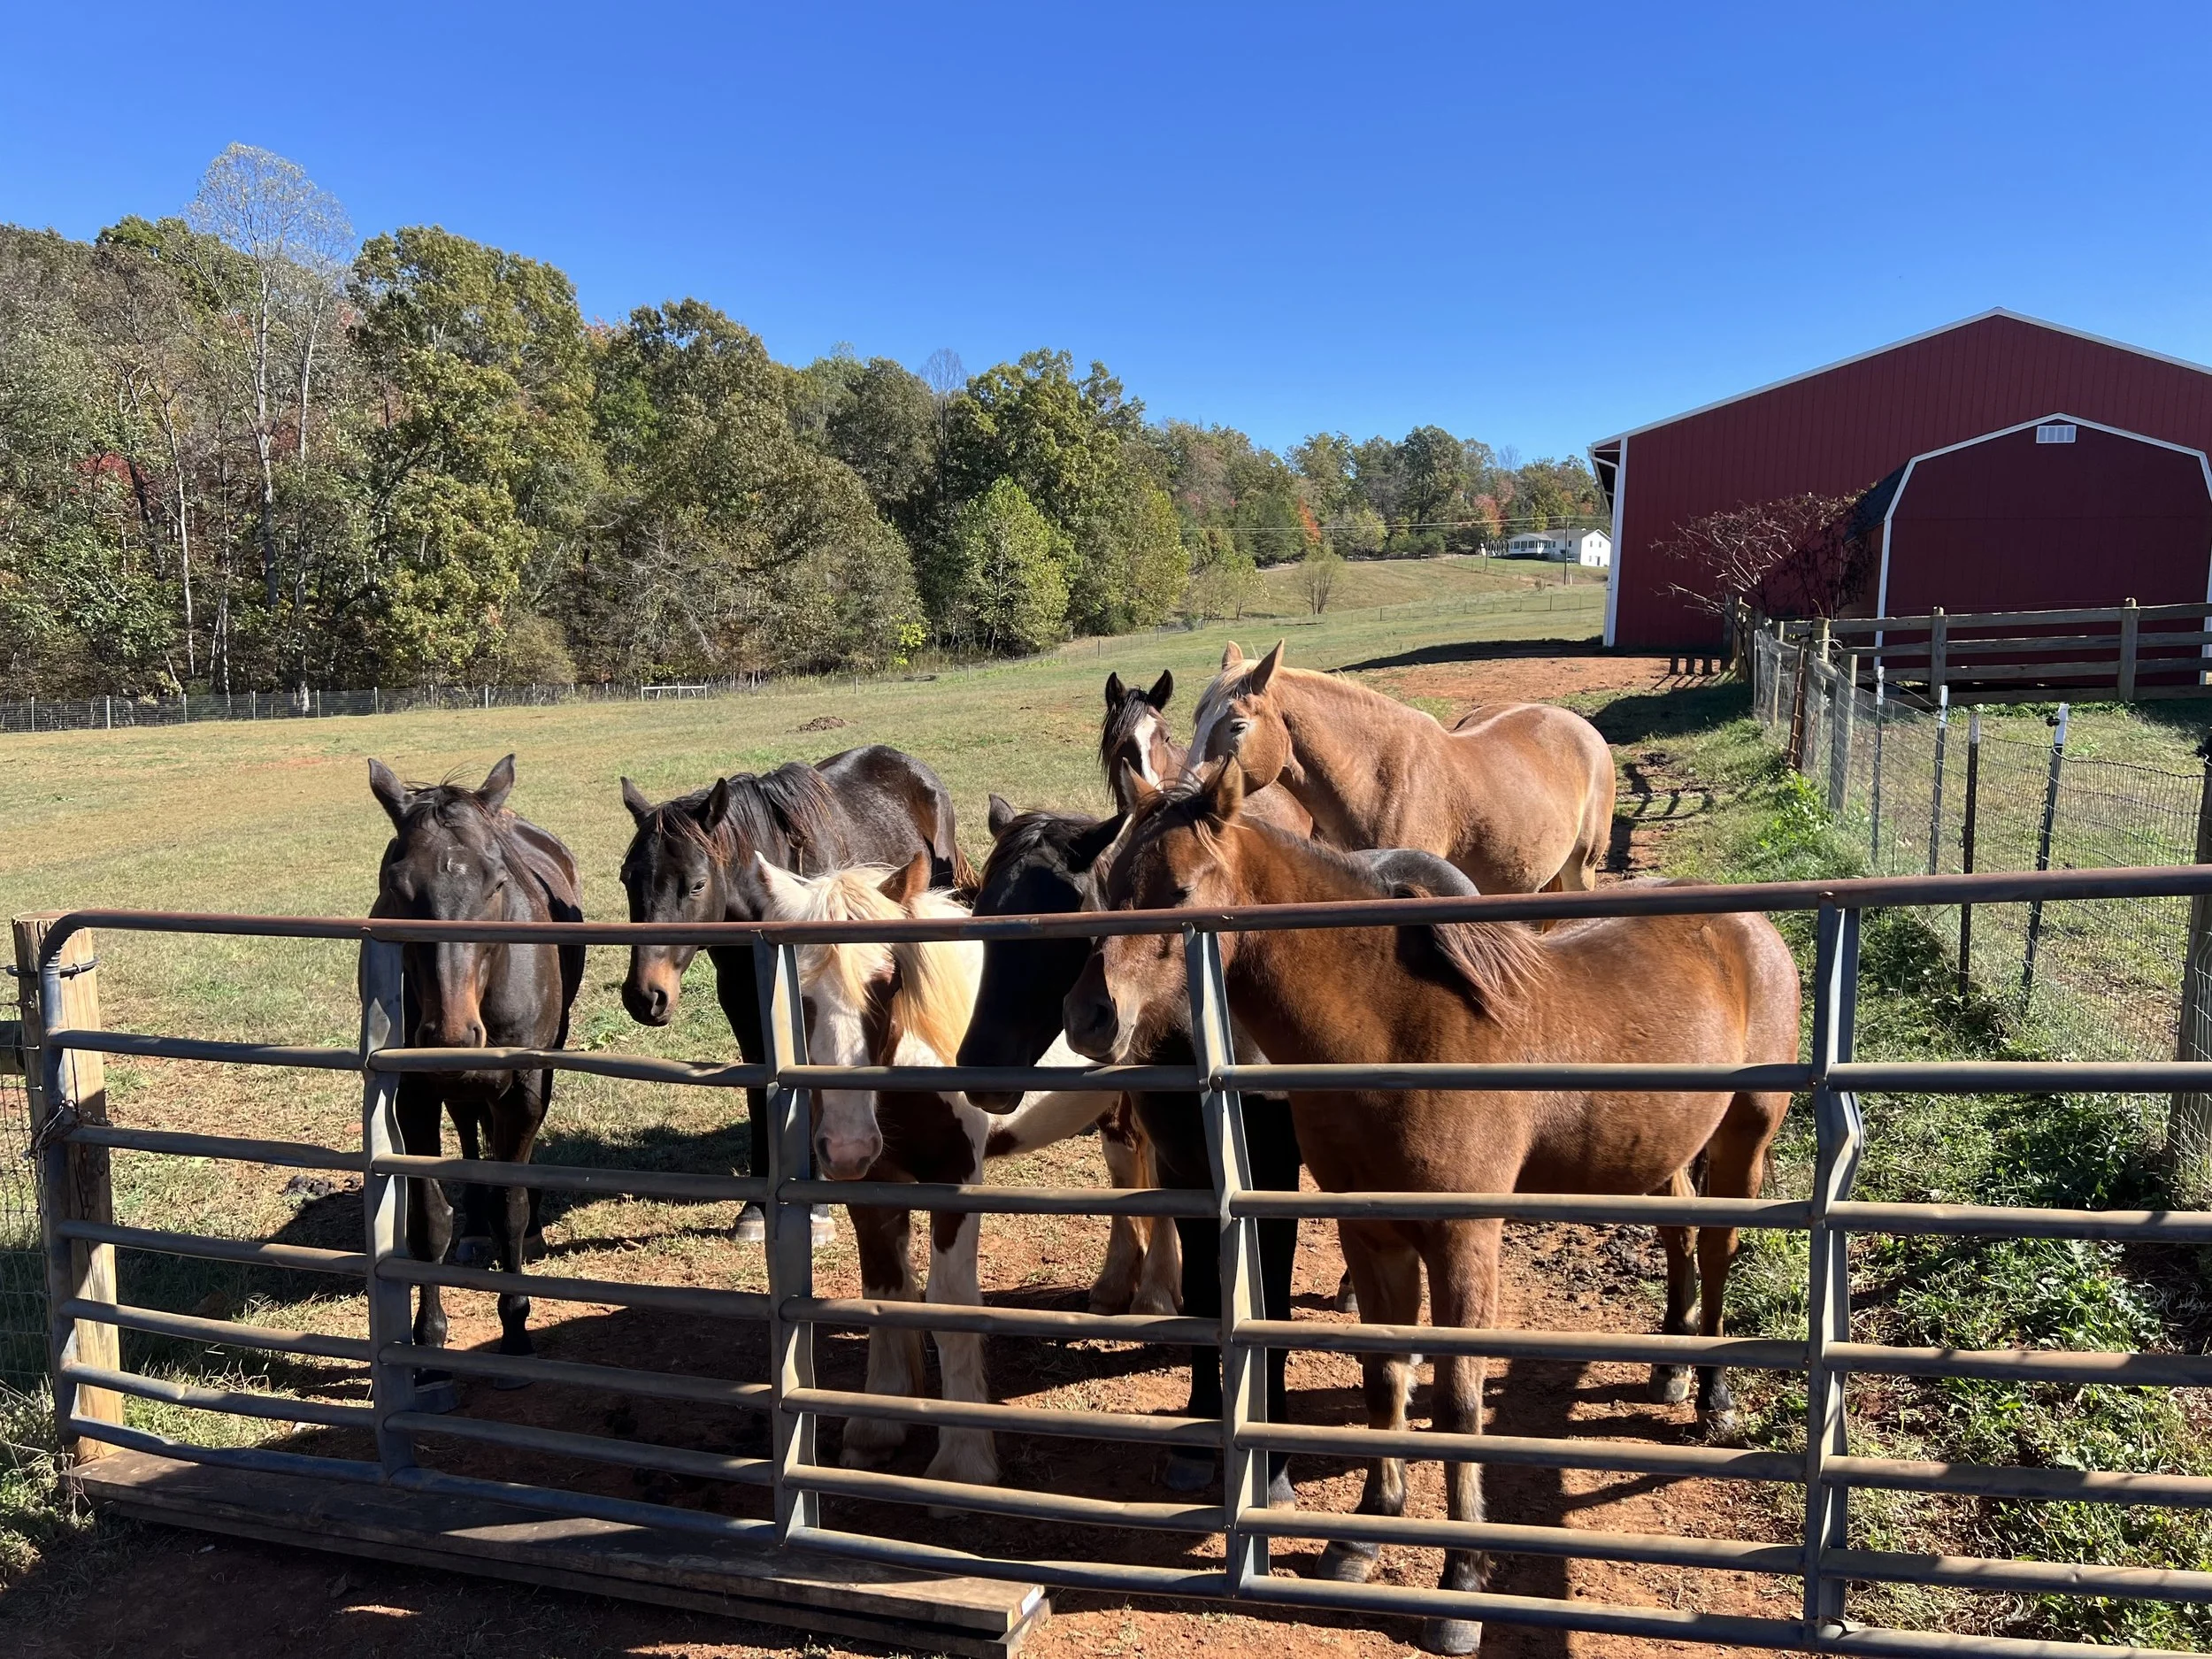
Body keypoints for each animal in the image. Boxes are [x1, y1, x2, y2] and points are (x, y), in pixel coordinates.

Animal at [366, 755, 585, 1380]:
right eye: (396, 886)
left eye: (497, 883)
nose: (451, 1034)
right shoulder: (414, 1097)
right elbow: (428, 1221)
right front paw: (429, 1343)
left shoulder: (521, 1092)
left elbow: (511, 1202)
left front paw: (515, 1328)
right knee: (468, 1131)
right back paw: (476, 1228)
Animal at [618, 745, 974, 1242]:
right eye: (626, 879)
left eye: (696, 884)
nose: (646, 996)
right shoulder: (744, 1005)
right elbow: (758, 1095)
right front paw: (753, 1210)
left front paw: (819, 1209)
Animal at [750, 852, 1170, 1486]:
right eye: (800, 996)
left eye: (889, 982)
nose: (846, 1145)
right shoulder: (873, 1186)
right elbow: (885, 1292)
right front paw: (876, 1426)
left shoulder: (955, 1180)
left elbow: (949, 1301)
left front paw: (964, 1458)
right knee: (1130, 1175)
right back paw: (1115, 1287)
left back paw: (1156, 1299)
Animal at [1064, 761, 1797, 1657]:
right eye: (1109, 887)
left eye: (1177, 890)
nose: (1089, 1017)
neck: (1396, 1029)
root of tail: (1749, 927)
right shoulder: (1372, 1233)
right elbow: (1385, 1379)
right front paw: (1362, 1537)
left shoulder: (1461, 1240)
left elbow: (1456, 1399)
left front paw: (1461, 1583)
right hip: (1657, 1150)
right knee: (1681, 1229)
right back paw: (1670, 1366)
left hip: (1744, 1136)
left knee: (1722, 1244)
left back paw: (1713, 1398)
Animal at [1187, 640, 1614, 895]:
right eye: (1196, 720)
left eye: (1238, 726)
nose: (1188, 801)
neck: (1374, 784)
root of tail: (1582, 727)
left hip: (1581, 868)